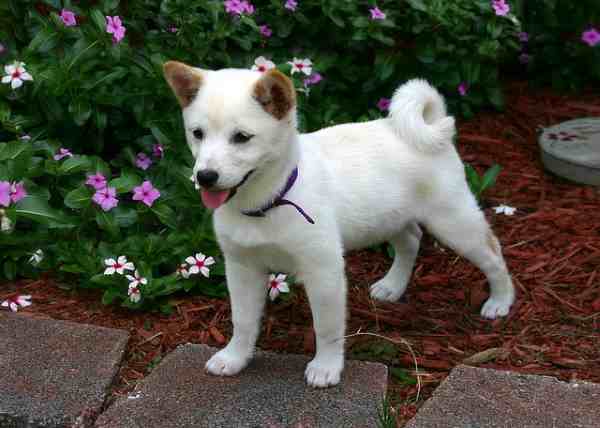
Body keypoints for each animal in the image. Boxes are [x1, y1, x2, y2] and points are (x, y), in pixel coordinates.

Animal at [163, 62, 516, 388]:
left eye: (242, 138)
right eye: (197, 133)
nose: (205, 177)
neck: (270, 200)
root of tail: (432, 126)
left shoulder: (324, 271)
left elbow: (327, 327)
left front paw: (326, 367)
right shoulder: (241, 268)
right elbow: (244, 321)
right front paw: (235, 357)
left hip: (454, 222)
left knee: (493, 253)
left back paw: (501, 300)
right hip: (389, 218)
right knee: (411, 240)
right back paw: (393, 285)